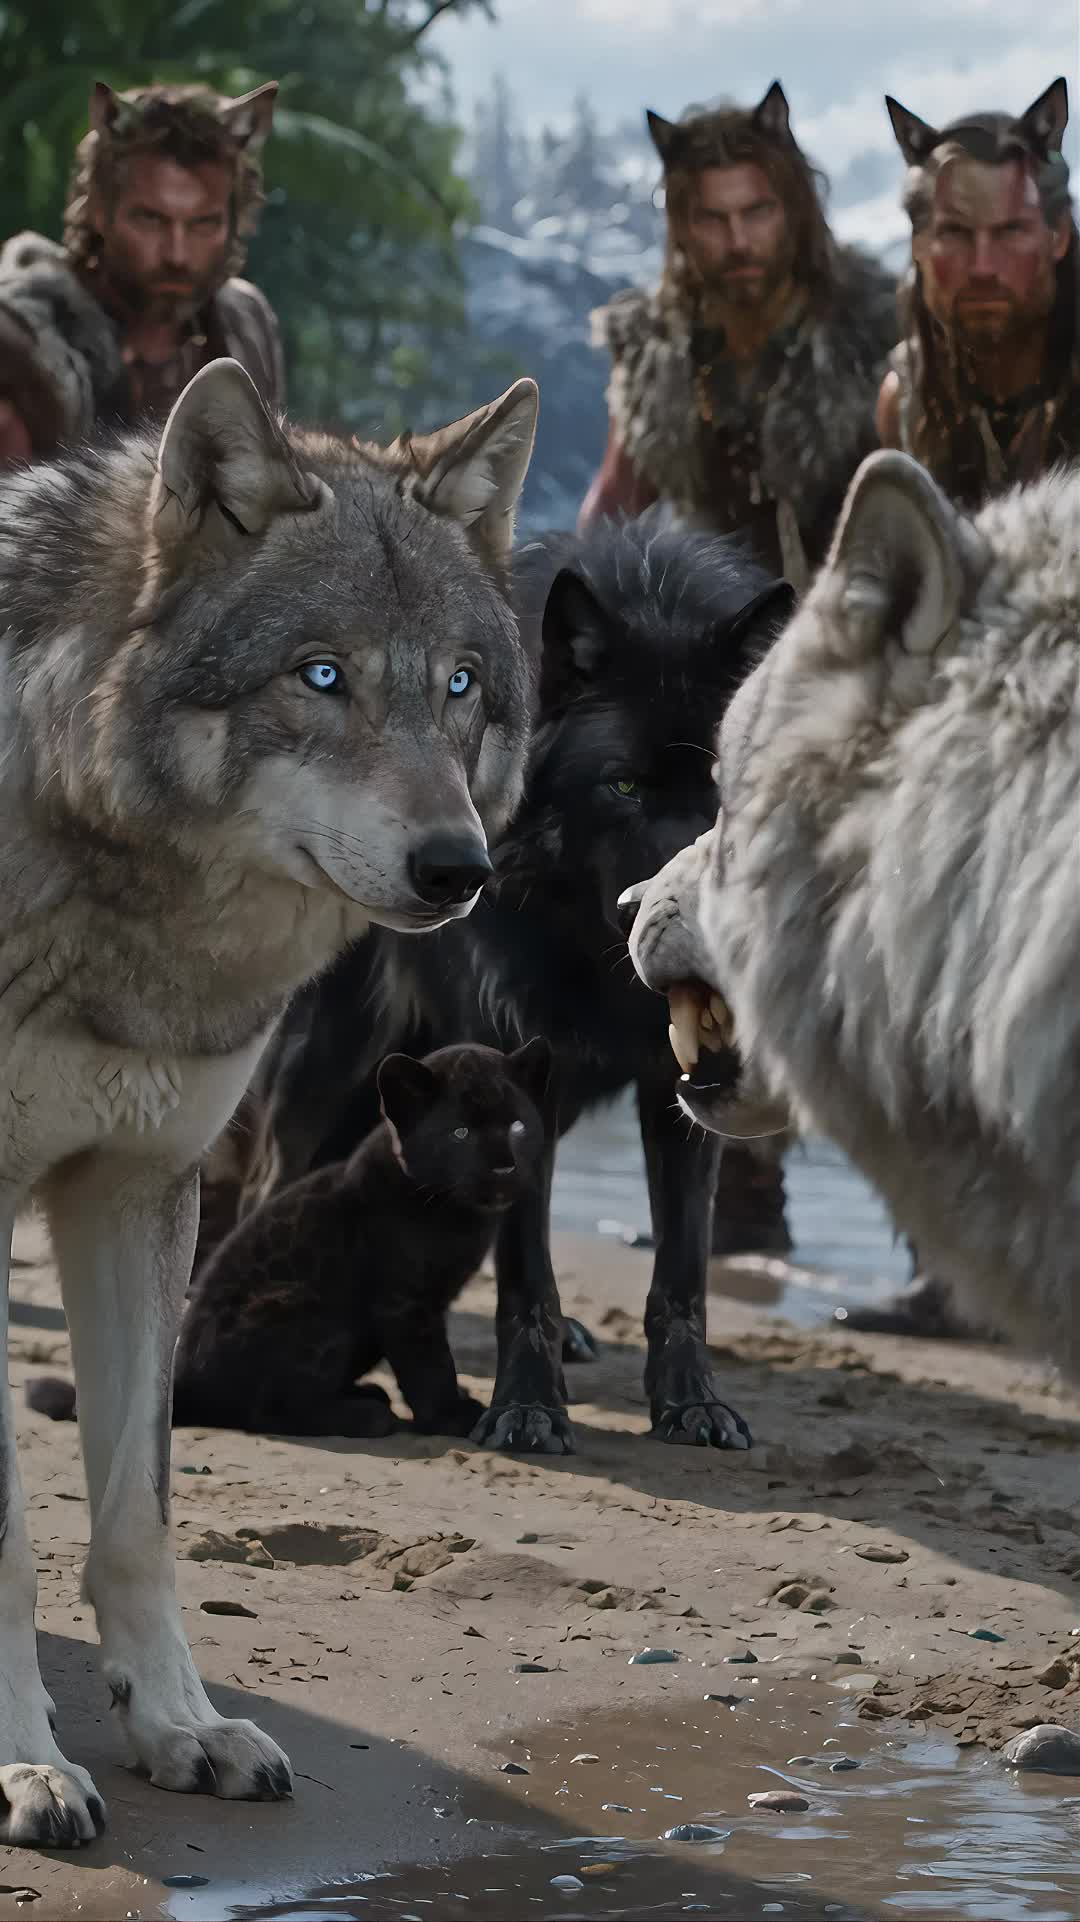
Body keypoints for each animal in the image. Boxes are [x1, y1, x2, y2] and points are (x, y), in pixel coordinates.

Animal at [0, 354, 537, 1846]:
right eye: (322, 676)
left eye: (461, 684)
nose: (460, 868)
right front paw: (26, 1759)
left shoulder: (139, 1191)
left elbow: (137, 1512)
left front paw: (176, 1725)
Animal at [242, 510, 794, 1454]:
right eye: (622, 786)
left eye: (724, 795)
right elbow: (525, 1274)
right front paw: (527, 1408)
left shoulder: (677, 1085)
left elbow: (682, 1273)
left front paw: (691, 1404)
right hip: (330, 1064)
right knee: (270, 1184)